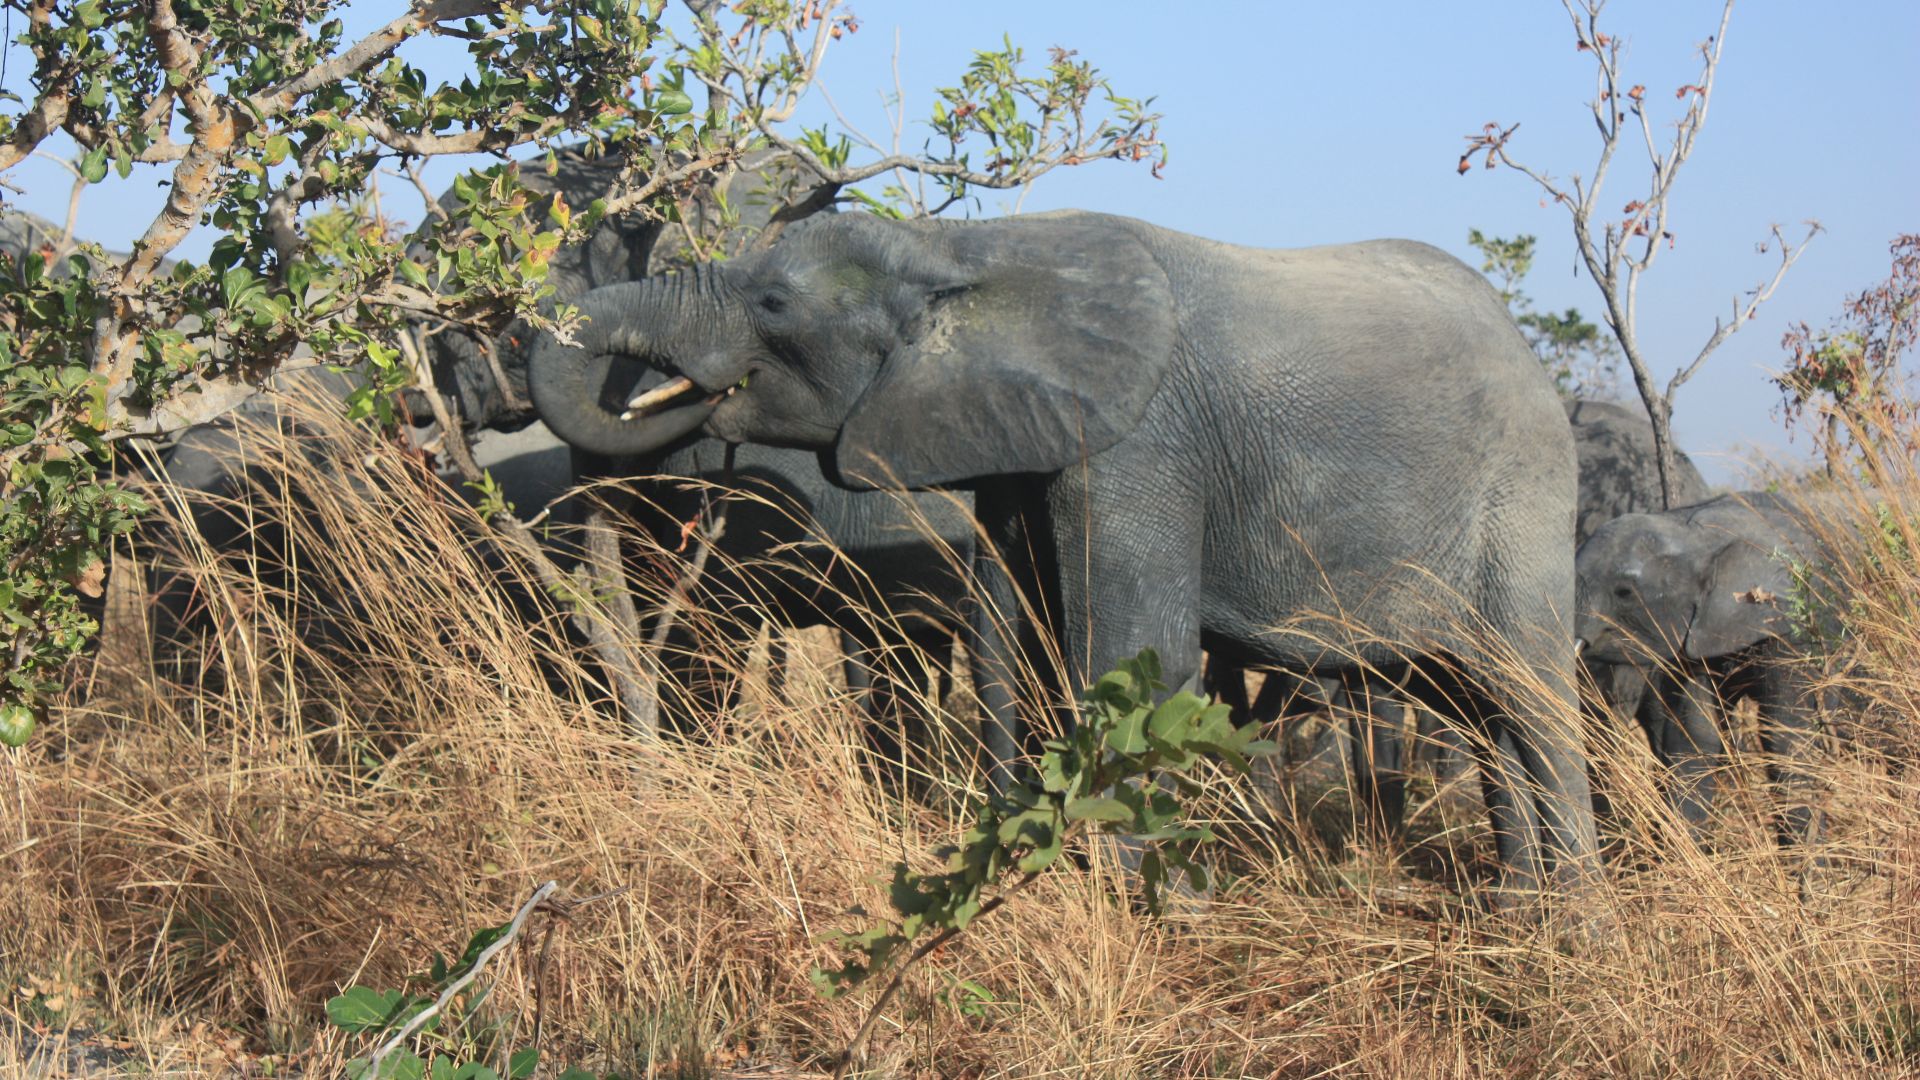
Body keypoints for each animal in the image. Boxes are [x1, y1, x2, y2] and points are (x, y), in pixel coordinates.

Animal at [526, 209, 1604, 897]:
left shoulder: (1139, 448)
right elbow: (1028, 648)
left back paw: (1573, 928)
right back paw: (1519, 914)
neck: (967, 247)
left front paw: (1146, 909)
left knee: (1532, 696)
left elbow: (1125, 657)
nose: (674, 407)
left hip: (1523, 498)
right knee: (1478, 708)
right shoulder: (1021, 445)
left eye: (776, 307)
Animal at [1575, 490, 1836, 847]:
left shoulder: (1788, 620)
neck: (1698, 539)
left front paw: (1810, 862)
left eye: (1624, 592)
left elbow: (1785, 734)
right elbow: (1695, 736)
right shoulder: (1689, 636)